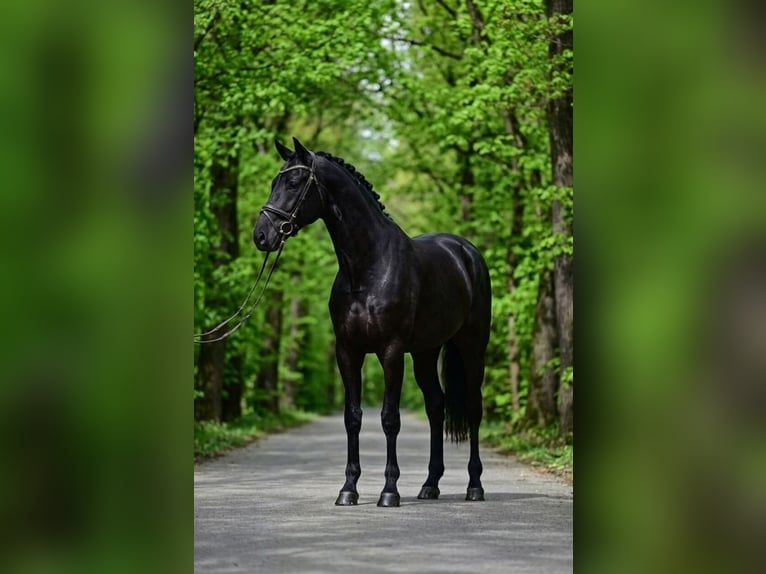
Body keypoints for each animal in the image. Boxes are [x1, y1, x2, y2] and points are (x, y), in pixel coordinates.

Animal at [254, 137, 492, 507]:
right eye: (273, 183)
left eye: (293, 183)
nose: (262, 235)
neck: (368, 268)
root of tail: (467, 253)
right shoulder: (348, 352)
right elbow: (353, 418)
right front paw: (348, 489)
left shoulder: (390, 352)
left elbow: (389, 419)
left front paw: (389, 491)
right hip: (425, 353)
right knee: (435, 406)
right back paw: (430, 484)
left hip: (472, 348)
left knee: (473, 406)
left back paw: (474, 486)